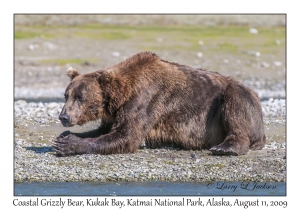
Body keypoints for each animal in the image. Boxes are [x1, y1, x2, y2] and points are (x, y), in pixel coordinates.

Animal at [53, 51, 264, 156]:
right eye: (66, 95)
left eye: (80, 97)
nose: (64, 116)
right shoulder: (115, 111)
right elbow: (105, 130)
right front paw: (64, 136)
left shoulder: (146, 100)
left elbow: (127, 135)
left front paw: (68, 144)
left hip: (233, 99)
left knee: (235, 110)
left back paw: (225, 147)